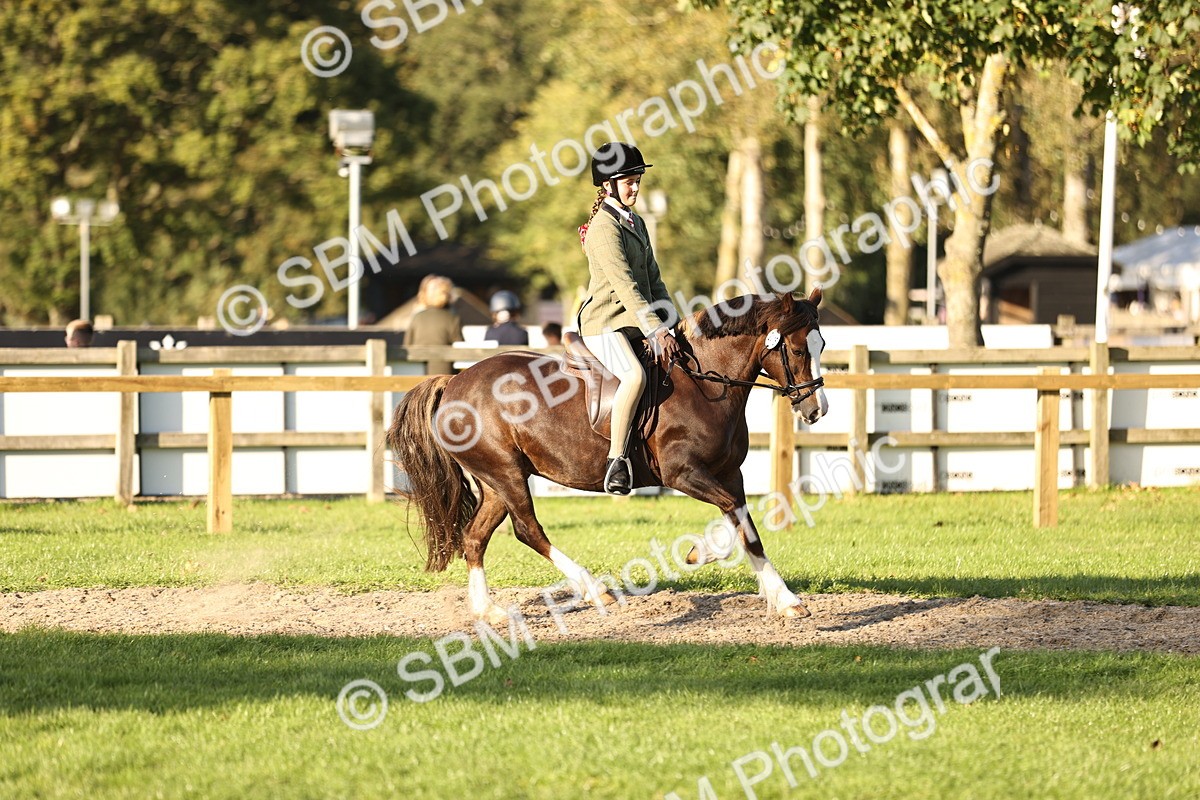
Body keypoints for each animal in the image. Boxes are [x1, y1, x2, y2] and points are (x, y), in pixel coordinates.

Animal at [387, 289, 829, 625]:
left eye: (822, 344)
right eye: (795, 349)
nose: (816, 410)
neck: (705, 384)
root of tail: (454, 381)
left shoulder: (729, 473)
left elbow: (745, 526)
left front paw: (786, 600)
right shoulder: (683, 474)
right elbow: (734, 519)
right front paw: (700, 553)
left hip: (496, 481)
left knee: (475, 538)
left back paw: (489, 612)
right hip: (506, 474)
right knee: (528, 530)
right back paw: (595, 589)